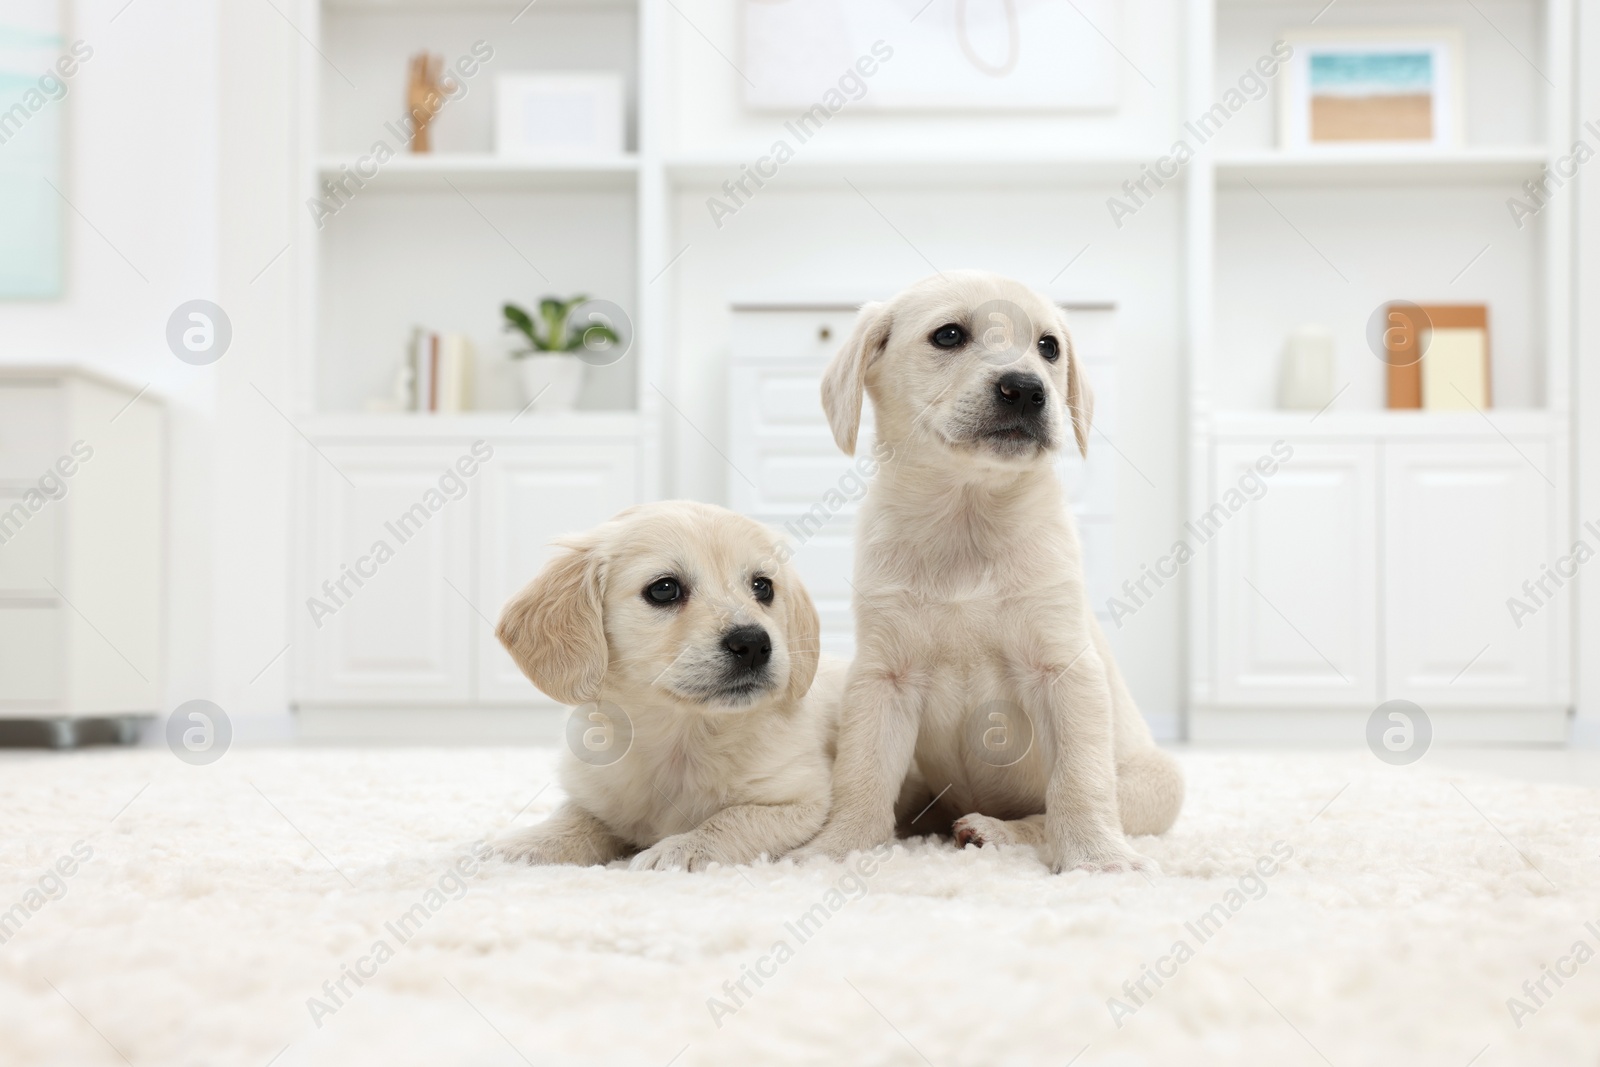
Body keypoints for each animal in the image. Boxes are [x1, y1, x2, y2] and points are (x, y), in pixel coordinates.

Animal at [489, 499, 844, 870]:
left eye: (763, 587)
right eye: (664, 589)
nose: (752, 644)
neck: (681, 735)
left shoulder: (802, 801)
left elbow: (733, 818)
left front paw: (679, 849)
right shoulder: (597, 793)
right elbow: (576, 817)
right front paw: (522, 845)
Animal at [800, 271, 1190, 870]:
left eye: (1049, 347)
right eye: (949, 335)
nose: (1026, 389)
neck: (969, 518)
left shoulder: (1064, 669)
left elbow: (1078, 781)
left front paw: (1099, 859)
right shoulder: (884, 677)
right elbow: (861, 774)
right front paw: (839, 847)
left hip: (1159, 779)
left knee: (1045, 816)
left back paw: (993, 831)